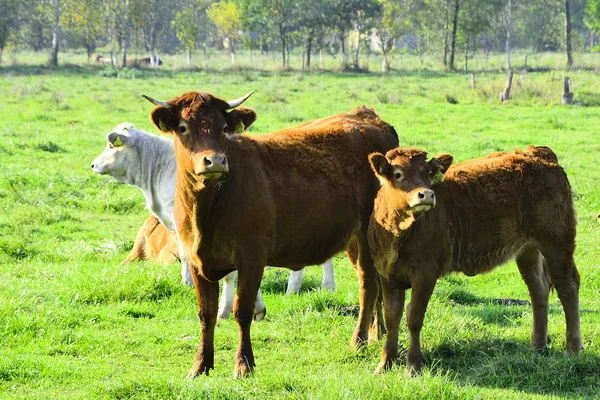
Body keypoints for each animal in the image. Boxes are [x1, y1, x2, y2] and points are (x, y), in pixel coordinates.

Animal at [142, 90, 398, 378]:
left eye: (223, 128)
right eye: (183, 127)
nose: (215, 161)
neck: (206, 209)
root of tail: (366, 115)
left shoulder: (252, 257)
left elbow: (242, 311)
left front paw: (244, 364)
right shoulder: (196, 261)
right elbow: (206, 314)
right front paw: (200, 366)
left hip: (366, 235)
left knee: (367, 284)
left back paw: (359, 340)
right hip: (354, 239)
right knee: (374, 284)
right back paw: (376, 333)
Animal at [368, 146, 584, 376]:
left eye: (428, 173)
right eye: (398, 174)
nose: (426, 194)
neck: (399, 235)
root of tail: (536, 153)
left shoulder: (426, 273)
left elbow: (414, 317)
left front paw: (413, 366)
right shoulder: (385, 273)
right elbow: (392, 316)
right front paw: (385, 363)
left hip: (557, 242)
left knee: (568, 286)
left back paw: (572, 349)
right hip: (528, 250)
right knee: (538, 290)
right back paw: (538, 346)